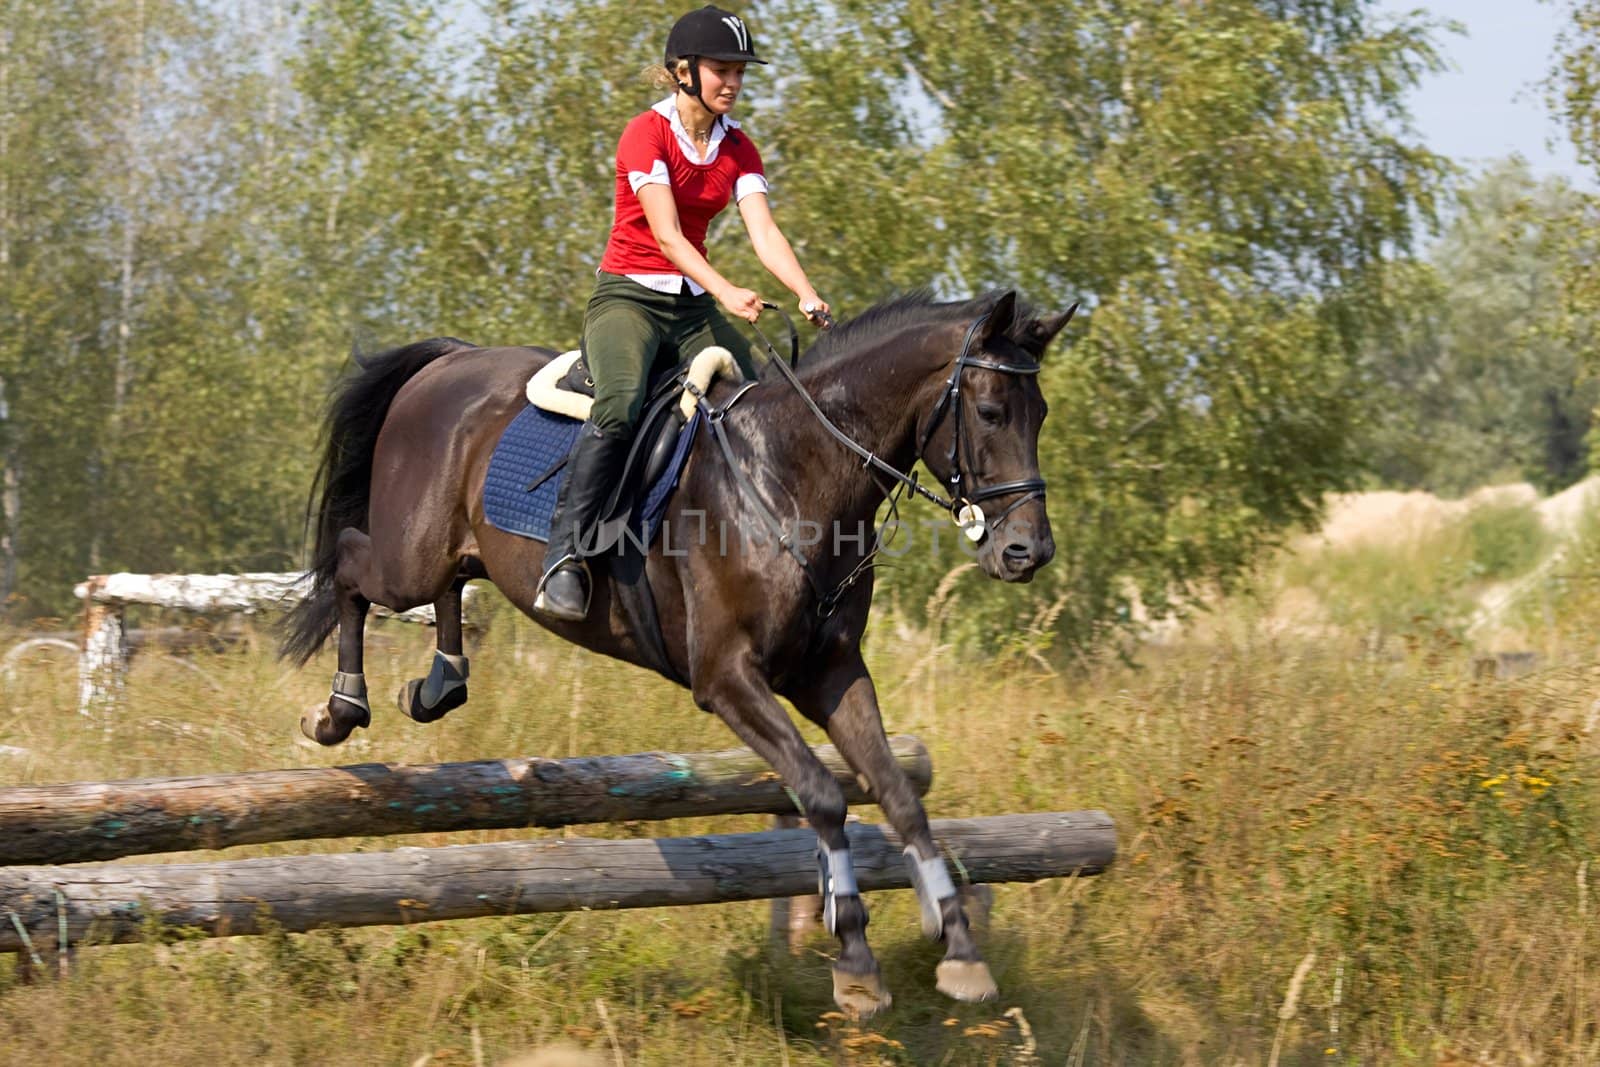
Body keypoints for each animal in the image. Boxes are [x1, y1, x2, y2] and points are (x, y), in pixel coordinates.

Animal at [280, 289, 1075, 1017]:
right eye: (992, 413)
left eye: (1041, 414)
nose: (1027, 552)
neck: (794, 474)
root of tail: (449, 359)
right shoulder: (726, 679)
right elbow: (822, 794)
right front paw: (853, 956)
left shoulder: (832, 673)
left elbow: (900, 795)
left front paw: (960, 947)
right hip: (408, 554)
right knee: (350, 565)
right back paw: (339, 709)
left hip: (456, 551)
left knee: (448, 588)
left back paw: (440, 683)